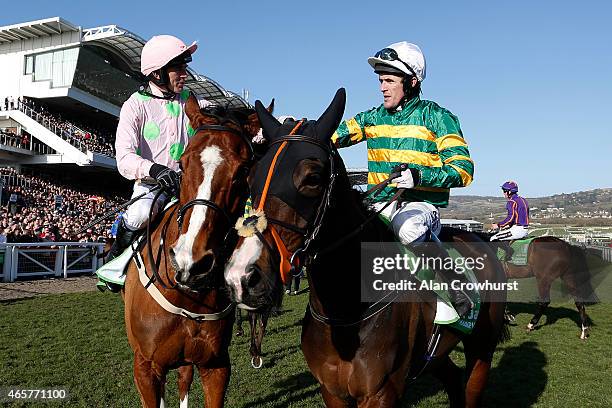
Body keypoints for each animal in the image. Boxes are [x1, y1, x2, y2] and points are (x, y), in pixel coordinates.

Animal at [222, 90, 510, 408]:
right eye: (250, 177)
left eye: (312, 177)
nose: (244, 277)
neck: (346, 313)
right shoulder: (332, 391)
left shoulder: (382, 393)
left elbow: (460, 164)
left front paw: (409, 175)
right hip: (435, 356)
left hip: (481, 348)